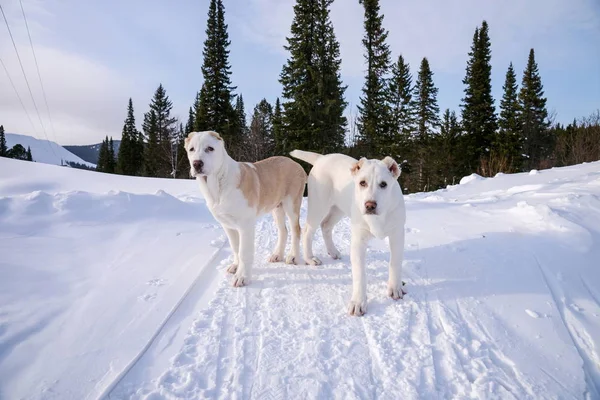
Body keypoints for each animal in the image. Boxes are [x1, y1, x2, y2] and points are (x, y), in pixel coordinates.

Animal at [186, 132, 310, 288]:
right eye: (191, 149)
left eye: (210, 148)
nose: (197, 163)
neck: (218, 183)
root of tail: (296, 164)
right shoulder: (228, 225)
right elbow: (235, 248)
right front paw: (235, 266)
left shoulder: (245, 225)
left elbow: (244, 252)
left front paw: (242, 277)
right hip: (277, 207)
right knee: (284, 231)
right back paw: (277, 255)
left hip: (291, 204)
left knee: (296, 230)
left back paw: (292, 256)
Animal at [288, 150, 406, 316]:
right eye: (362, 183)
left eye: (384, 184)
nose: (370, 205)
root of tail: (322, 158)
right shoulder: (358, 240)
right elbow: (359, 274)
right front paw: (358, 303)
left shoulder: (397, 234)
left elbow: (395, 263)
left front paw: (395, 289)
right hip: (319, 205)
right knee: (307, 231)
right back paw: (310, 258)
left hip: (338, 208)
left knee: (326, 226)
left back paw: (333, 252)